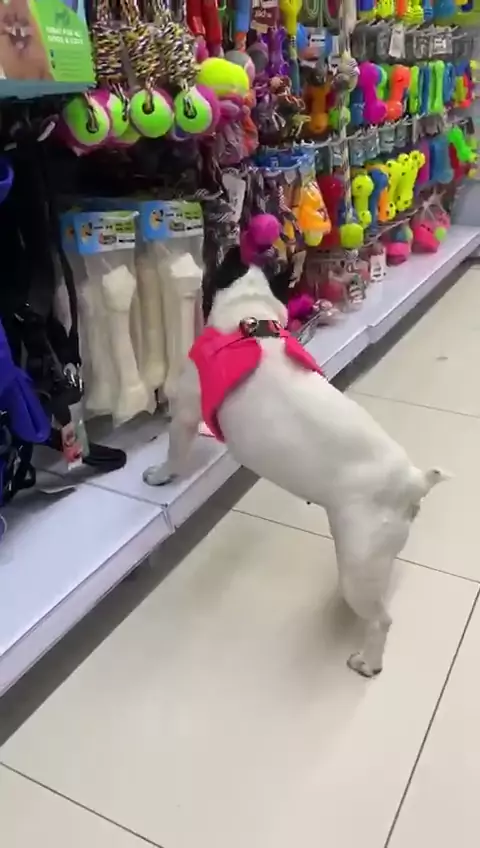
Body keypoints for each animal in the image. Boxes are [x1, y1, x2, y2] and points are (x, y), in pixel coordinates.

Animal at [144, 237, 446, 678]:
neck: (251, 317)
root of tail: (413, 481)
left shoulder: (185, 408)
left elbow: (175, 449)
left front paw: (161, 473)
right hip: (371, 553)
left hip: (360, 558)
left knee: (381, 620)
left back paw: (367, 661)